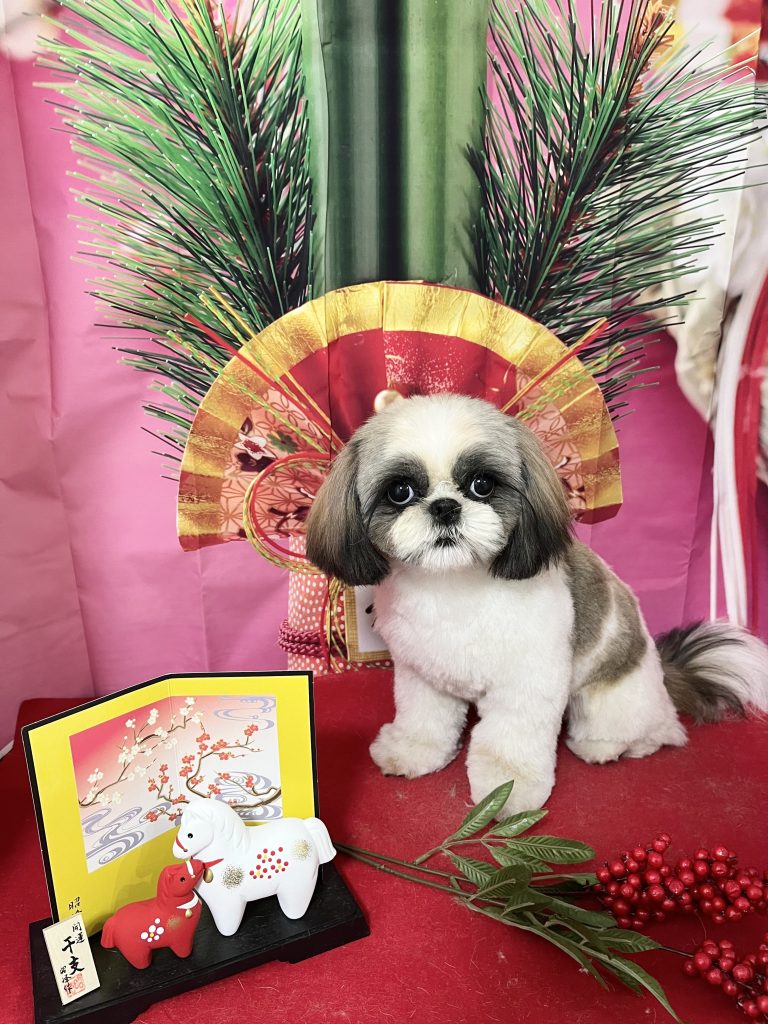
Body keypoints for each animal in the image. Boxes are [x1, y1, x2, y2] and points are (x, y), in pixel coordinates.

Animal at [305, 392, 768, 816]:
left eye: (482, 485)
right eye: (400, 491)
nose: (445, 507)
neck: (454, 586)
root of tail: (664, 673)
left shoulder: (526, 682)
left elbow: (511, 739)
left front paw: (507, 792)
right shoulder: (423, 672)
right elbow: (425, 717)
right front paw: (413, 750)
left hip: (612, 698)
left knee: (657, 731)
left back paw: (608, 746)